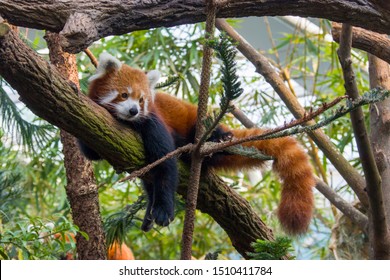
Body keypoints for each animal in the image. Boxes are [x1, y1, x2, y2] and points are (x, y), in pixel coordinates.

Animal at [80, 53, 316, 236]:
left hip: (202, 126)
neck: (128, 123)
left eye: (141, 100)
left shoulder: (154, 122)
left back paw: (216, 142)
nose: (133, 111)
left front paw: (164, 209)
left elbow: (166, 166)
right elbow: (91, 152)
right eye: (124, 95)